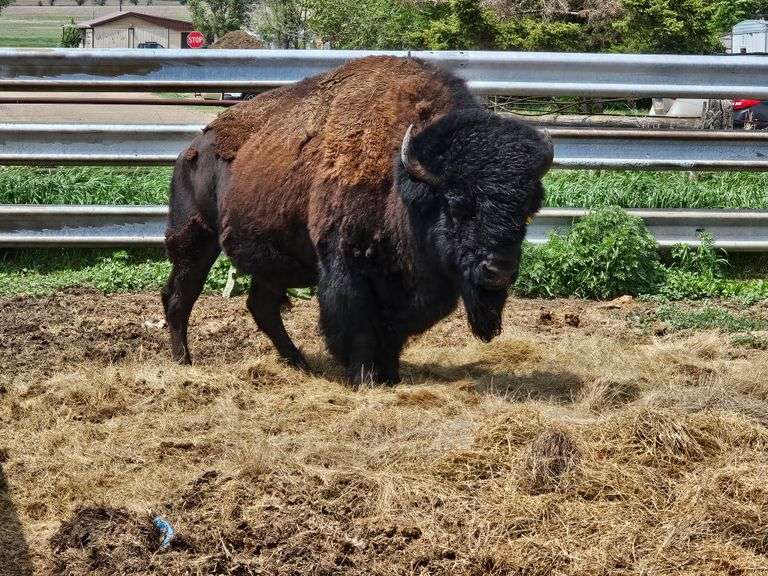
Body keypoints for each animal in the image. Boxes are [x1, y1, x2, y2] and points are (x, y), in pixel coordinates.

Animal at [162, 55, 553, 385]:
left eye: (528, 207)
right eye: (457, 204)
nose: (499, 270)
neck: (401, 178)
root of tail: (191, 150)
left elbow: (394, 332)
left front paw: (390, 376)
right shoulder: (347, 266)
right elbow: (359, 325)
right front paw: (362, 378)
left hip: (272, 259)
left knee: (262, 305)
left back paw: (298, 362)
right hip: (195, 238)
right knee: (180, 295)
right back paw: (184, 360)